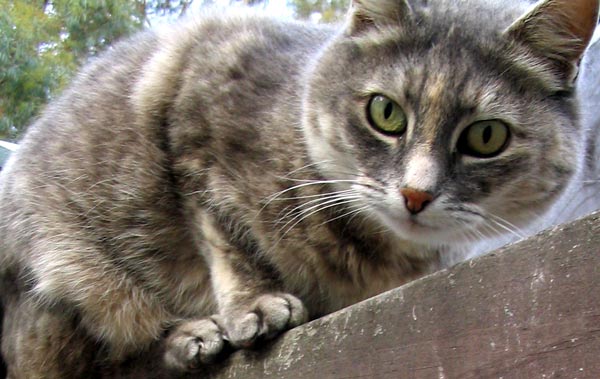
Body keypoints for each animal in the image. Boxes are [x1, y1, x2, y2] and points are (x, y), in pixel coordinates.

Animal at [0, 0, 596, 378]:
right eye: (385, 113)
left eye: (485, 136)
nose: (415, 194)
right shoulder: (198, 105)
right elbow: (226, 237)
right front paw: (255, 304)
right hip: (62, 274)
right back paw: (189, 336)